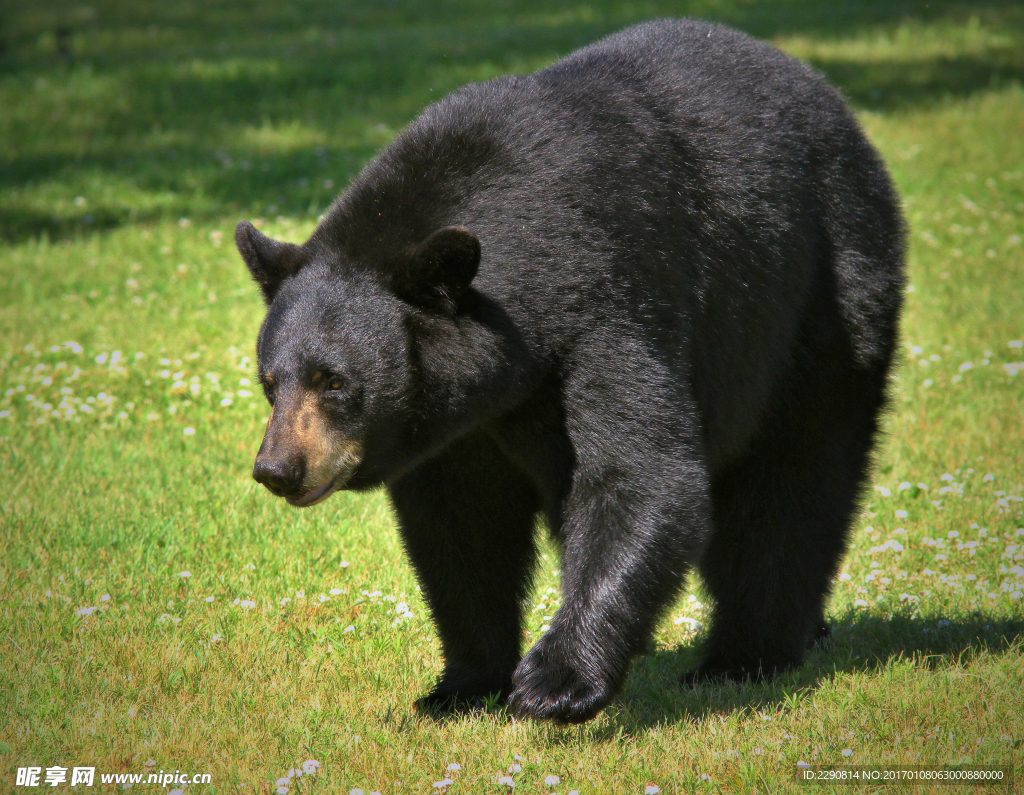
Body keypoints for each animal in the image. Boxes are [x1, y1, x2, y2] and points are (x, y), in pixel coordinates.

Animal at [234, 18, 904, 724]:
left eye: (334, 381)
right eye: (271, 383)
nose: (277, 469)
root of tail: (826, 92)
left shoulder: (605, 300)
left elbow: (640, 473)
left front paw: (556, 680)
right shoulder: (458, 414)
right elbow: (460, 523)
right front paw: (461, 685)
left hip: (819, 297)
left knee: (792, 477)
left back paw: (748, 654)